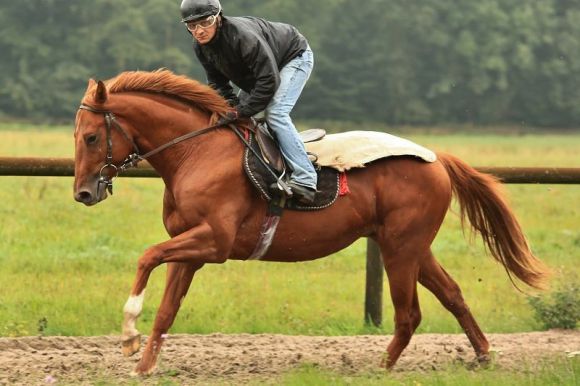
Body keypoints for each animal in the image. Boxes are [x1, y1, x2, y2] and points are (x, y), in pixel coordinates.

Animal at [72, 68, 548, 374]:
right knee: (451, 294)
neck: (197, 153)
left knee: (409, 313)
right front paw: (144, 364)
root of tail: (437, 158)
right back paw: (483, 355)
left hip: (401, 247)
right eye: (76, 136)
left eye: (92, 137)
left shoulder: (214, 242)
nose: (83, 193)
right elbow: (168, 308)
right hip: (410, 246)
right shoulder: (191, 248)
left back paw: (381, 367)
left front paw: (128, 334)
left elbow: (147, 256)